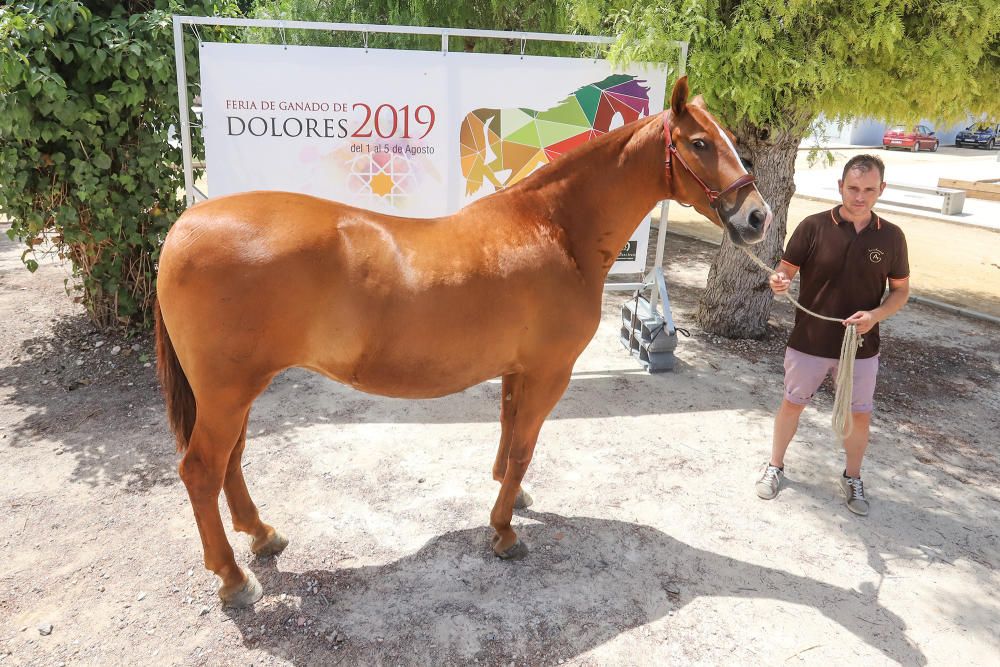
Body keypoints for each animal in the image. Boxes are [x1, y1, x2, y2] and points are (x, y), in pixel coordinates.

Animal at [156, 75, 768, 608]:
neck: (555, 228)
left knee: (231, 461)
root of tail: (185, 225)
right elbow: (523, 446)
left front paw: (511, 497)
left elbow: (509, 434)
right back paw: (234, 578)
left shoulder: (518, 369)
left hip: (235, 390)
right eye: (699, 143)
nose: (757, 217)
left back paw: (261, 534)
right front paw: (504, 531)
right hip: (227, 391)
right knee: (202, 469)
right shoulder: (549, 371)